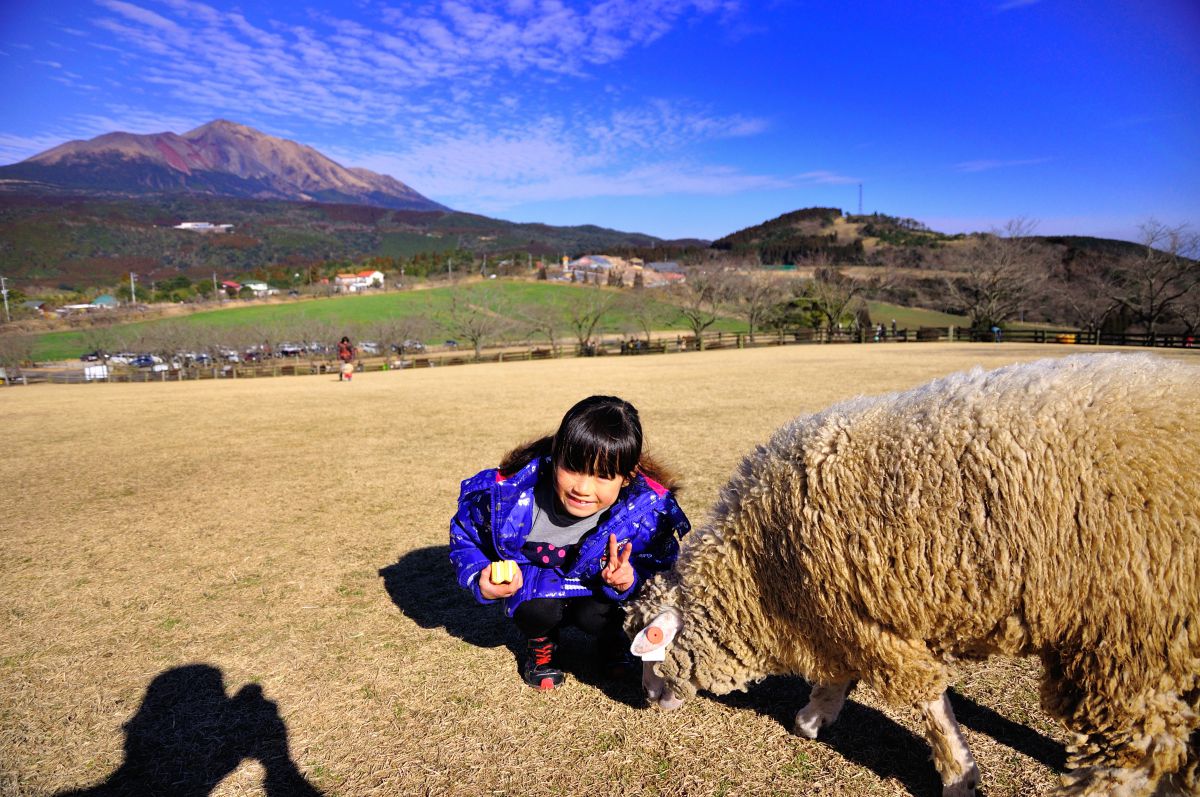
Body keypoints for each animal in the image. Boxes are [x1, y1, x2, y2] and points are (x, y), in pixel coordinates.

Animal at [628, 355, 1200, 797]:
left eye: (649, 650)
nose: (647, 703)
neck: (761, 566)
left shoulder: (864, 618)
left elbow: (927, 704)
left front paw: (958, 775)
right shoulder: (840, 614)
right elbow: (838, 675)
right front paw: (815, 716)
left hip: (1124, 638)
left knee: (1138, 752)